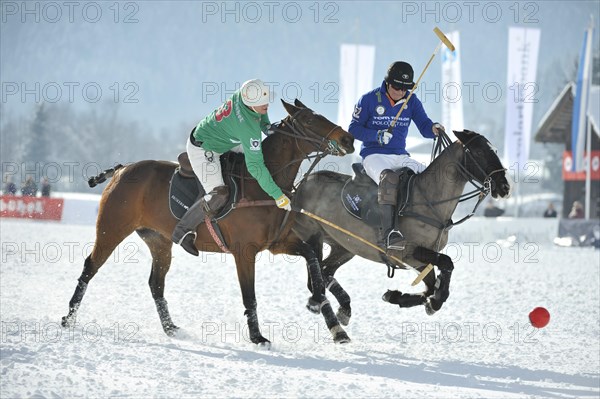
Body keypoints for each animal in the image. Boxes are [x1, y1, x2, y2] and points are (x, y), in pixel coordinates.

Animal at [59, 100, 356, 346]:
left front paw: (321, 304)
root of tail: (121, 169)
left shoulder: (278, 243)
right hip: (112, 228)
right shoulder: (244, 251)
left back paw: (171, 328)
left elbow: (312, 257)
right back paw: (68, 318)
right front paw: (258, 337)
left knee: (156, 283)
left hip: (159, 240)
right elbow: (250, 295)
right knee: (90, 267)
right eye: (308, 120)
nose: (348, 138)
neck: (263, 182)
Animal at [290, 130, 510, 326]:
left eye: (495, 150)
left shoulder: (421, 261)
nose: (505, 187)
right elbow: (446, 265)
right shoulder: (408, 252)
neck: (430, 202)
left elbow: (431, 287)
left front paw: (397, 296)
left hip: (344, 246)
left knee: (326, 271)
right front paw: (428, 299)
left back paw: (344, 308)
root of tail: (302, 182)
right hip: (314, 234)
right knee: (315, 273)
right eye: (479, 152)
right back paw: (318, 301)